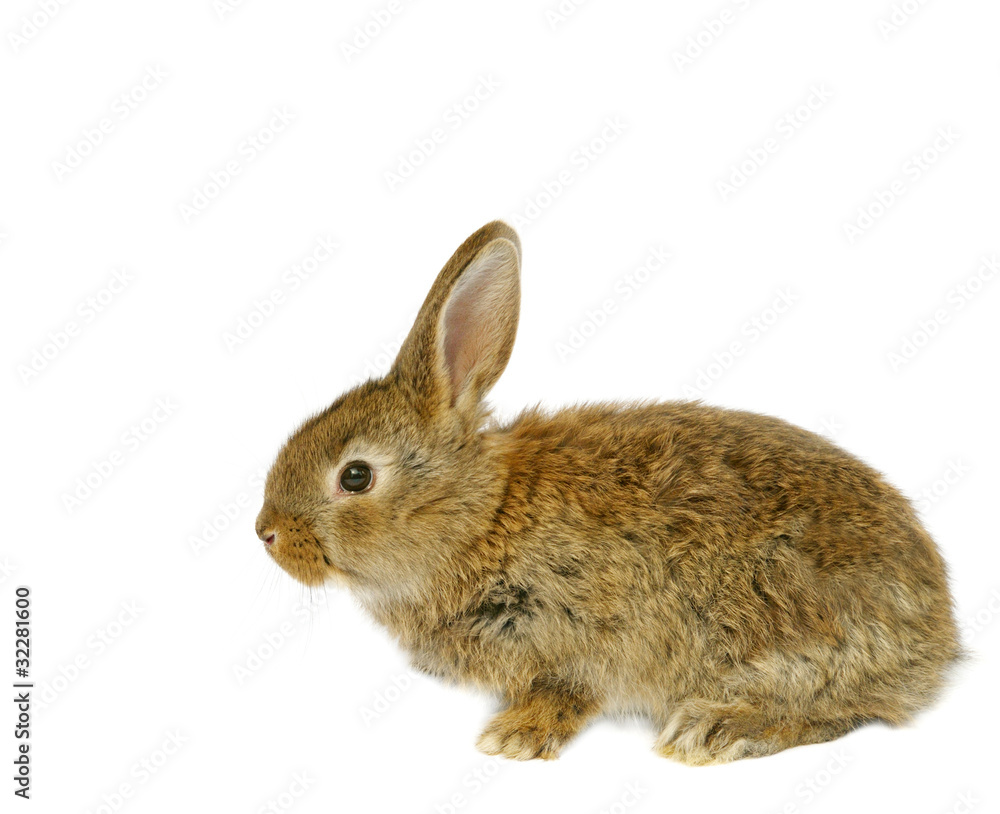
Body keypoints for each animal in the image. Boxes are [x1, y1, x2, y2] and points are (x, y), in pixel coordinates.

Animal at [255, 221, 962, 765]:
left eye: (355, 476)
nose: (267, 533)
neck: (481, 517)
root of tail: (939, 628)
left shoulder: (587, 635)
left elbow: (569, 690)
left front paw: (514, 738)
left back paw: (716, 729)